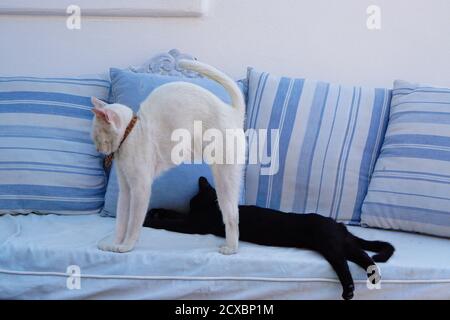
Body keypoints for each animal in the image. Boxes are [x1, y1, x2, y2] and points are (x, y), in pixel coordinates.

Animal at [91, 60, 244, 254]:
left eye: (96, 136)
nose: (97, 148)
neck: (131, 133)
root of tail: (231, 111)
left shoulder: (140, 188)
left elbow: (133, 223)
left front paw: (126, 246)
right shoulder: (125, 188)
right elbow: (121, 220)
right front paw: (114, 243)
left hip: (224, 179)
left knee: (232, 215)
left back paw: (231, 248)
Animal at [143, 176, 394, 298]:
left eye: (193, 200)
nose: (191, 204)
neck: (212, 206)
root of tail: (337, 224)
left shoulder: (194, 224)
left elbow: (173, 222)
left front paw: (148, 220)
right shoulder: (191, 218)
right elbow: (174, 213)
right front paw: (155, 210)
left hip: (330, 245)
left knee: (344, 263)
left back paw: (350, 289)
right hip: (341, 244)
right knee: (362, 255)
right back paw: (373, 276)